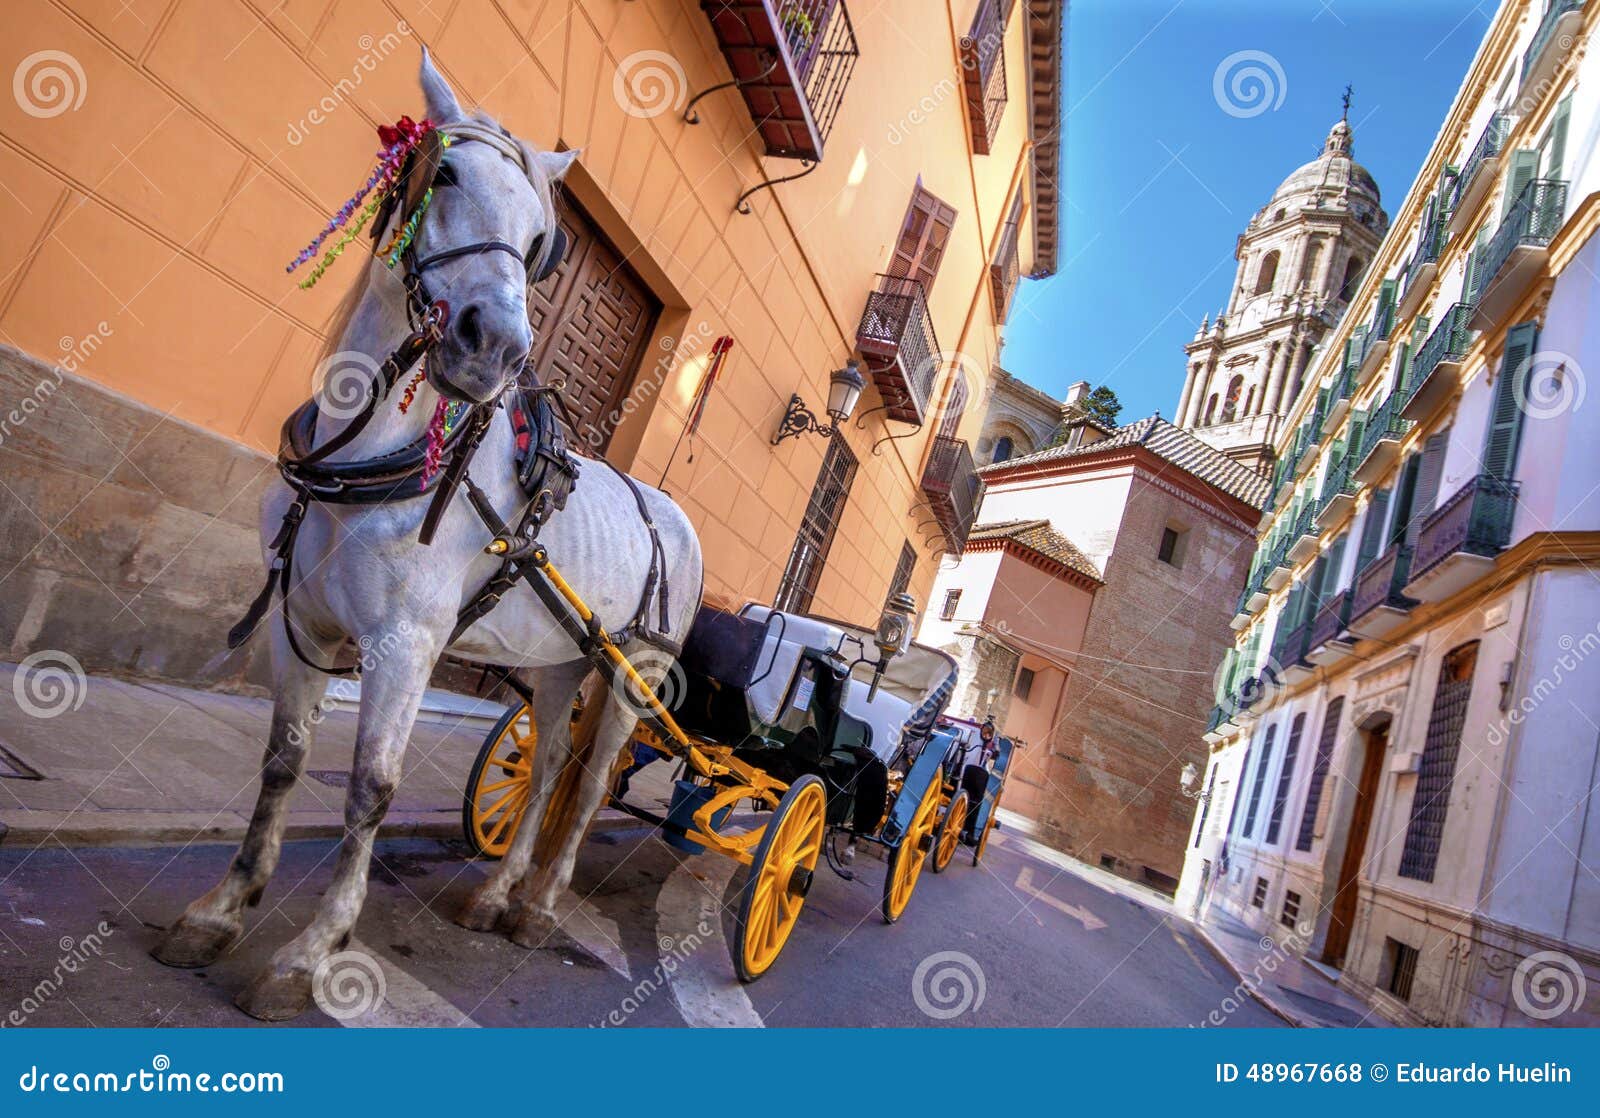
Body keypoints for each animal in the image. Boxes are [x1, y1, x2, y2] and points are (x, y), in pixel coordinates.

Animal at [154, 54, 700, 1023]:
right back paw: (496, 894)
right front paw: (222, 909)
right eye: (442, 176)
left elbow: (372, 788)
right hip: (562, 660)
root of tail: (670, 511)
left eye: (539, 240)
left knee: (592, 783)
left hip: (634, 671)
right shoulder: (299, 621)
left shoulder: (405, 645)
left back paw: (540, 908)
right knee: (547, 764)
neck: (369, 452)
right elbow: (282, 764)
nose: (496, 350)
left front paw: (311, 952)